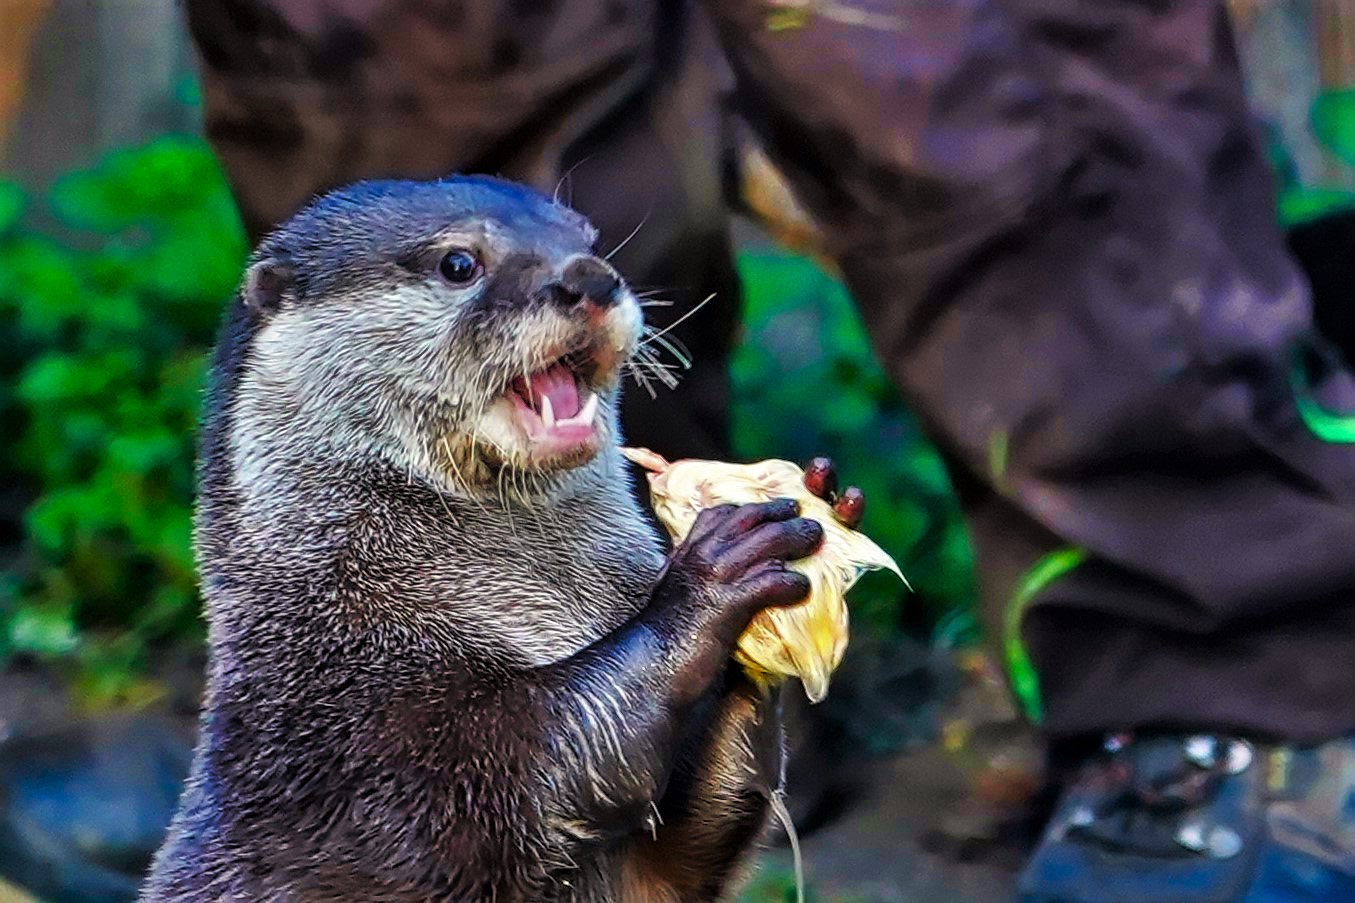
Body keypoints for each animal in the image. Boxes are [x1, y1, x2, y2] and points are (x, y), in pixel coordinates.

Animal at [142, 176, 850, 900]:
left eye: (589, 240)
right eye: (459, 263)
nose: (591, 277)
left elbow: (696, 838)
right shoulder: (358, 751)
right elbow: (542, 758)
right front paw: (709, 572)